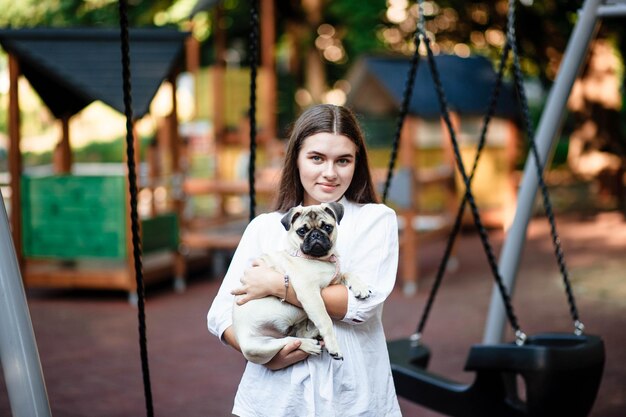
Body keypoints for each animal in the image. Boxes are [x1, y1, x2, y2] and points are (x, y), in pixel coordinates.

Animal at [233, 200, 370, 362]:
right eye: (302, 231)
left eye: (327, 227)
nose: (315, 234)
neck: (321, 260)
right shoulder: (309, 293)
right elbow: (325, 320)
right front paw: (334, 347)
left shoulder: (333, 280)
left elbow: (348, 273)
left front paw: (360, 287)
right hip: (257, 348)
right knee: (288, 341)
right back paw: (309, 345)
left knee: (296, 334)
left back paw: (313, 335)